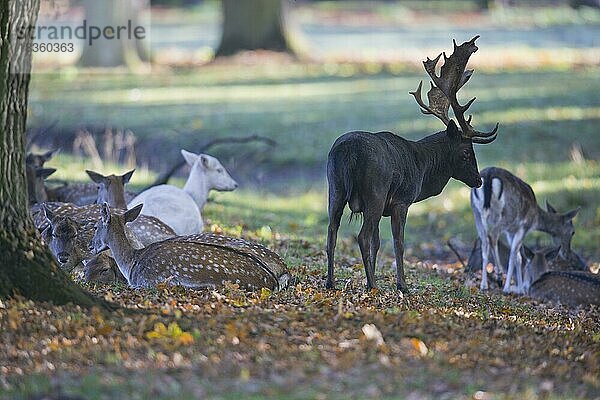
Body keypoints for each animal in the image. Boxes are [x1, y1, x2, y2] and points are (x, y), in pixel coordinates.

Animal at [326, 36, 500, 292]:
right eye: (467, 152)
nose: (478, 180)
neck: (422, 167)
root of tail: (348, 152)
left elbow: (378, 243)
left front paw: (375, 277)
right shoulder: (401, 201)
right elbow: (398, 243)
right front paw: (401, 285)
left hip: (335, 187)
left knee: (332, 232)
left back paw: (331, 282)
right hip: (375, 191)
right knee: (361, 236)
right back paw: (372, 286)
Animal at [472, 166, 580, 294]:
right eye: (573, 232)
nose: (567, 254)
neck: (535, 219)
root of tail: (489, 175)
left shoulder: (510, 231)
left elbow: (518, 257)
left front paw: (520, 288)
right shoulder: (523, 227)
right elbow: (514, 254)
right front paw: (510, 288)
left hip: (477, 213)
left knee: (484, 241)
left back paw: (484, 285)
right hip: (508, 215)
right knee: (493, 235)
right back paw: (499, 277)